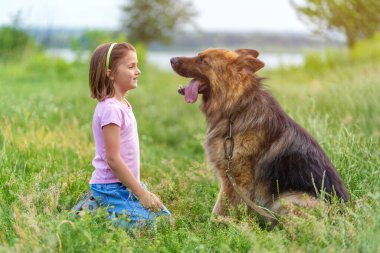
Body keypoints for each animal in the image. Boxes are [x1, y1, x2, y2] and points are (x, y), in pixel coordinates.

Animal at [171, 48, 348, 221]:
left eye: (203, 61)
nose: (172, 59)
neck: (236, 109)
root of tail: (344, 213)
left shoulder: (236, 180)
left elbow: (219, 210)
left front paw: (216, 226)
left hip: (286, 199)